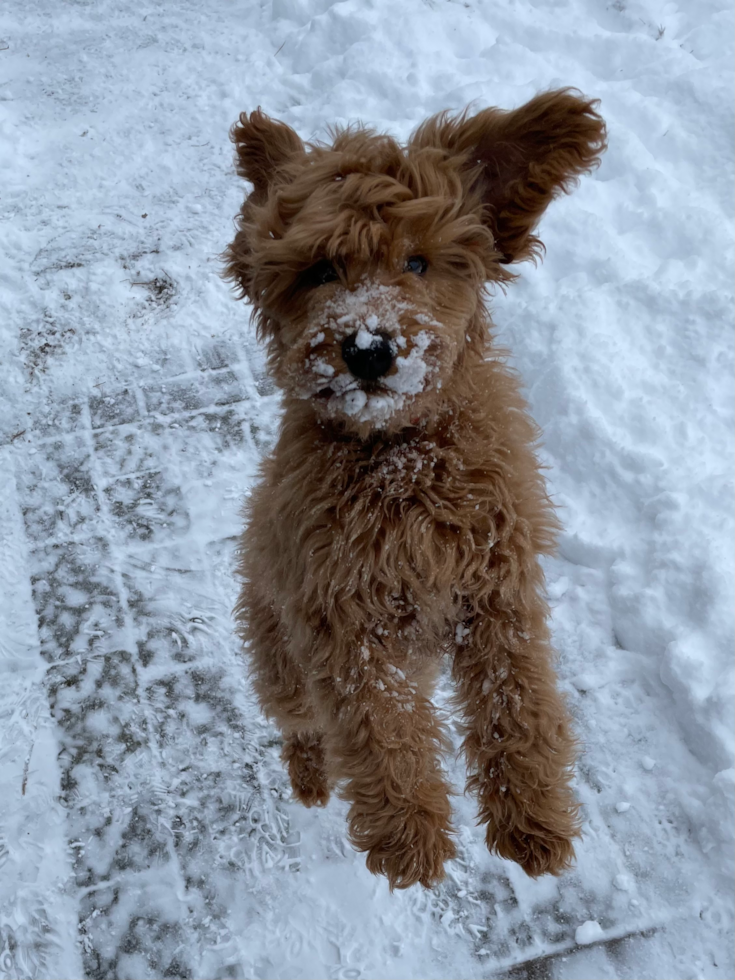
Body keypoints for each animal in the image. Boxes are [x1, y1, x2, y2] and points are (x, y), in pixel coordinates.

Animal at [223, 90, 604, 888]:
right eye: (320, 271)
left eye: (418, 261)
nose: (369, 348)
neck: (401, 461)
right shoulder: (341, 615)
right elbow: (379, 727)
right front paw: (410, 834)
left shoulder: (497, 589)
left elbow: (517, 699)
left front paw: (534, 818)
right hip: (278, 653)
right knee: (301, 724)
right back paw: (310, 778)